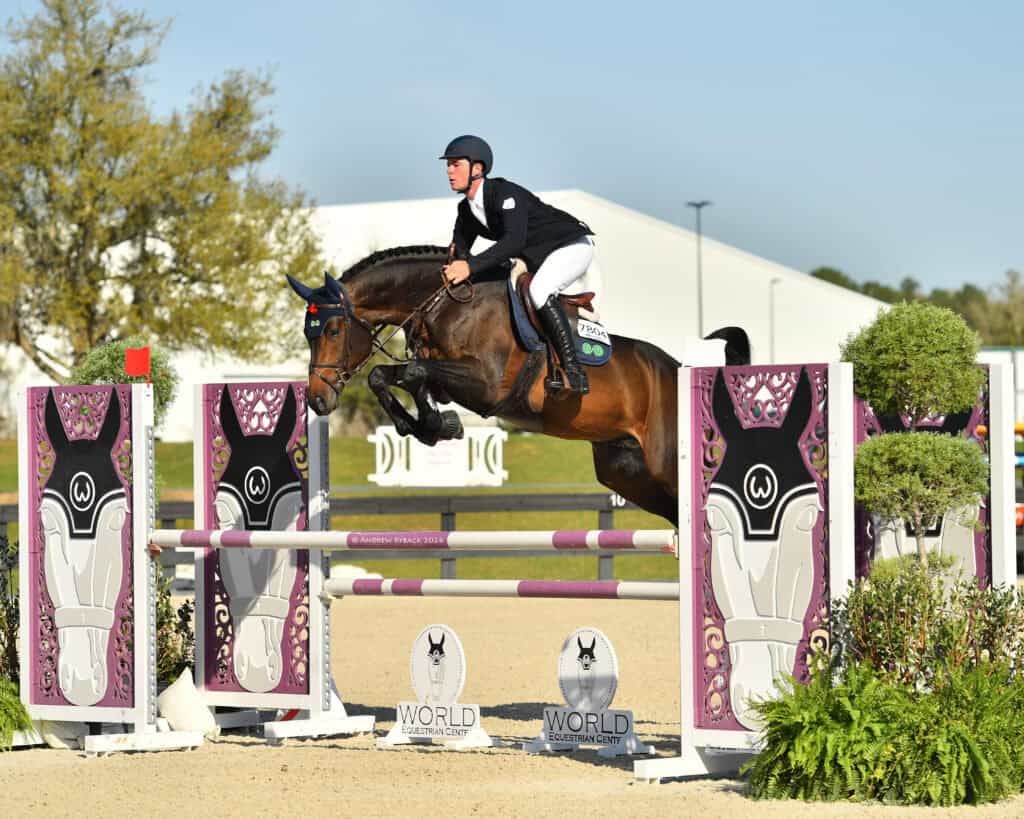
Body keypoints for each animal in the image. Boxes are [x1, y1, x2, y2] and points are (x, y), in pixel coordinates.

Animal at [287, 245, 750, 525]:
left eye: (332, 330)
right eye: (308, 333)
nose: (318, 399)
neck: (445, 303)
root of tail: (676, 369)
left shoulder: (485, 385)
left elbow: (413, 374)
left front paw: (437, 425)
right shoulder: (446, 377)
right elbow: (392, 375)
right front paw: (432, 427)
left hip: (665, 463)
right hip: (627, 471)